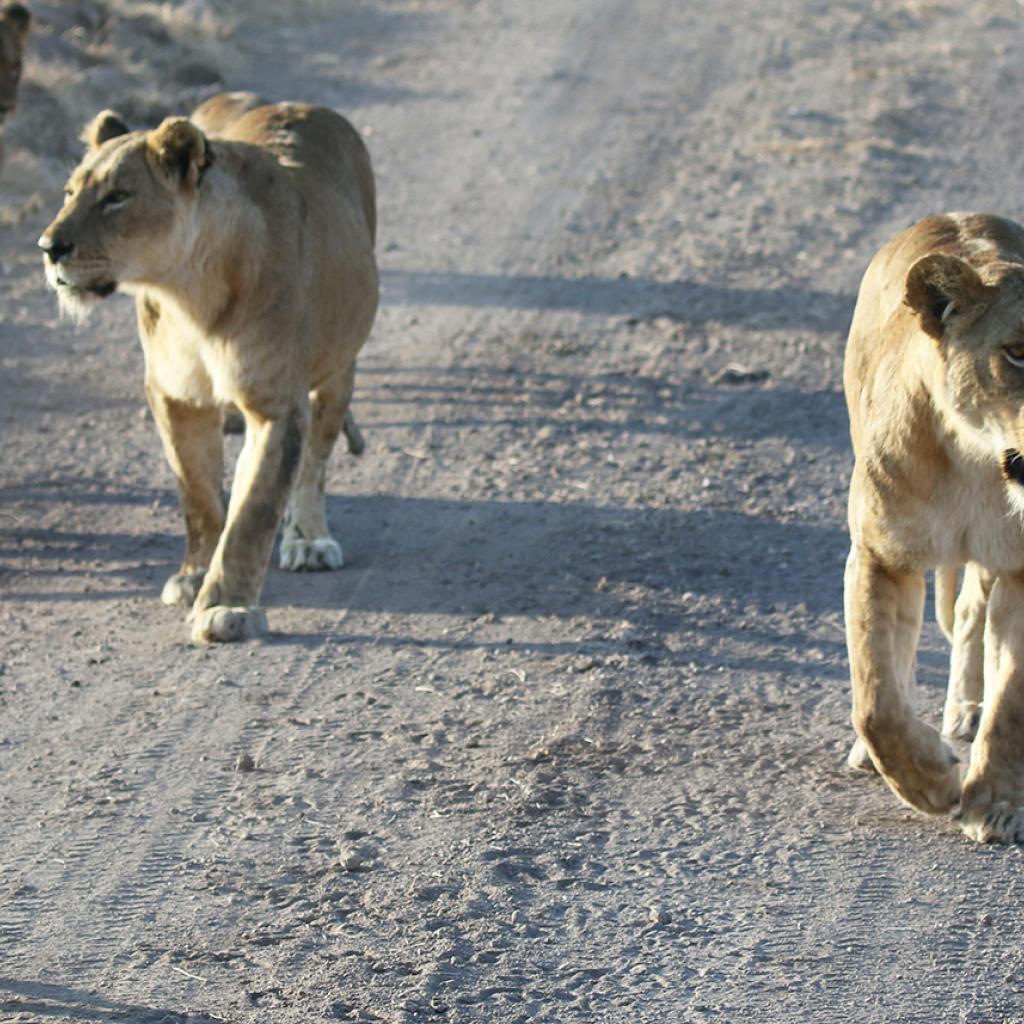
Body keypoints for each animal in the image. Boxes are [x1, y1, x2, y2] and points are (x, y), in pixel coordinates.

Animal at [36, 92, 382, 643]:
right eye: (69, 193)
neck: (187, 296)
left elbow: (252, 512)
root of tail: (288, 102)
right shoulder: (174, 395)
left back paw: (308, 539)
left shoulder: (274, 404)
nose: (49, 248)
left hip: (338, 366)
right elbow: (197, 493)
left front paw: (226, 607)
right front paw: (195, 574)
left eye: (117, 197)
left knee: (314, 464)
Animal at [847, 211, 1024, 843]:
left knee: (973, 614)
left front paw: (995, 804)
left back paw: (968, 713)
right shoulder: (879, 555)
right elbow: (877, 700)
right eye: (1018, 352)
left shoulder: (1023, 569)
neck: (978, 462)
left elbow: (1012, 700)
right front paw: (931, 783)